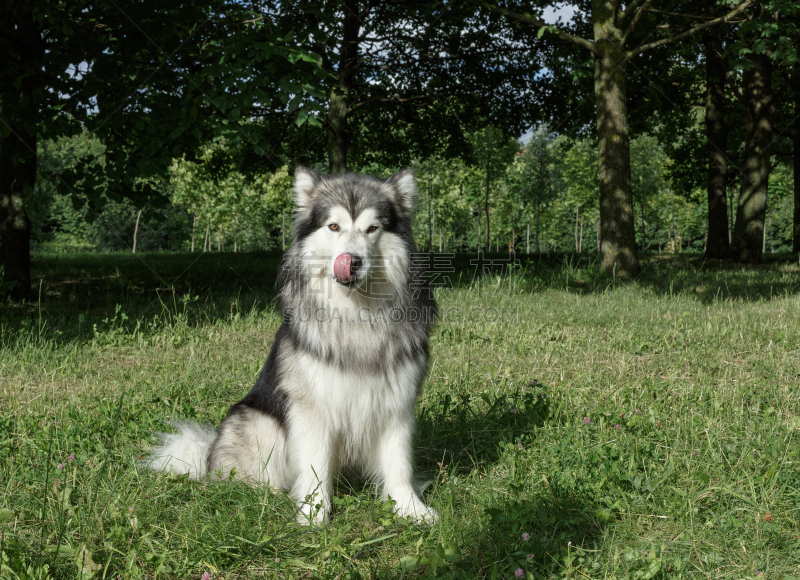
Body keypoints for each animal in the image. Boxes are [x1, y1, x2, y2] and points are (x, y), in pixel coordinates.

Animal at [147, 165, 440, 524]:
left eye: (373, 228)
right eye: (333, 226)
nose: (351, 261)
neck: (356, 313)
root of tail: (209, 454)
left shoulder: (397, 399)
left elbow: (399, 462)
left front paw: (409, 507)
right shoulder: (312, 406)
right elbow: (316, 464)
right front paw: (314, 513)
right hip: (258, 422)